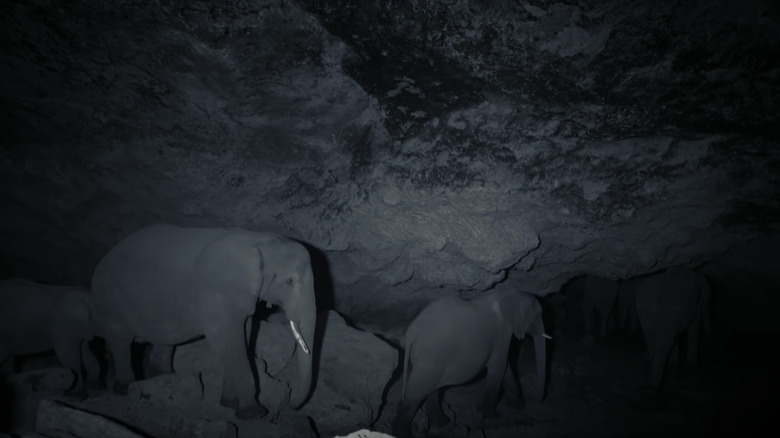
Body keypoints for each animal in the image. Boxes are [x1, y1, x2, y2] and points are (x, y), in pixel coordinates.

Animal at [87, 224, 314, 420]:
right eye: (289, 281)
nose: (292, 404)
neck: (260, 242)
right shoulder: (215, 293)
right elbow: (226, 341)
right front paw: (253, 414)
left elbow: (243, 335)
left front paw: (229, 404)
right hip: (111, 301)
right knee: (121, 341)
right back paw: (124, 388)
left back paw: (164, 376)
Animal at [390, 290, 548, 436]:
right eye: (537, 316)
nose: (536, 398)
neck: (509, 295)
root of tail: (411, 333)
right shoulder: (501, 335)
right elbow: (499, 368)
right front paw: (494, 417)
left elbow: (506, 369)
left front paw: (518, 406)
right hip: (431, 357)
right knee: (418, 390)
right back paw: (405, 433)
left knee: (430, 387)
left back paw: (443, 423)